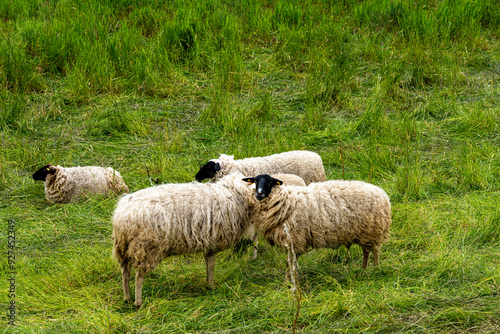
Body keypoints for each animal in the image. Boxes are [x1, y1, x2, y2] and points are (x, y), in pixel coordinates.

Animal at [111, 174, 256, 306]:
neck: (232, 193)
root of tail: (121, 216)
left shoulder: (209, 242)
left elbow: (209, 263)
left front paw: (209, 284)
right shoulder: (213, 240)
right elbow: (211, 265)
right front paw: (211, 285)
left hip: (122, 247)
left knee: (125, 272)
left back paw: (127, 298)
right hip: (147, 246)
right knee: (138, 276)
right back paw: (138, 302)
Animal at [242, 172, 390, 276]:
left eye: (270, 182)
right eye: (255, 181)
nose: (259, 194)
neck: (285, 201)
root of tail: (383, 194)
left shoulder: (294, 239)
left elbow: (291, 263)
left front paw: (289, 280)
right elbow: (291, 262)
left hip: (373, 231)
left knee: (375, 251)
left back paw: (375, 269)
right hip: (365, 233)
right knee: (366, 251)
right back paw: (363, 269)